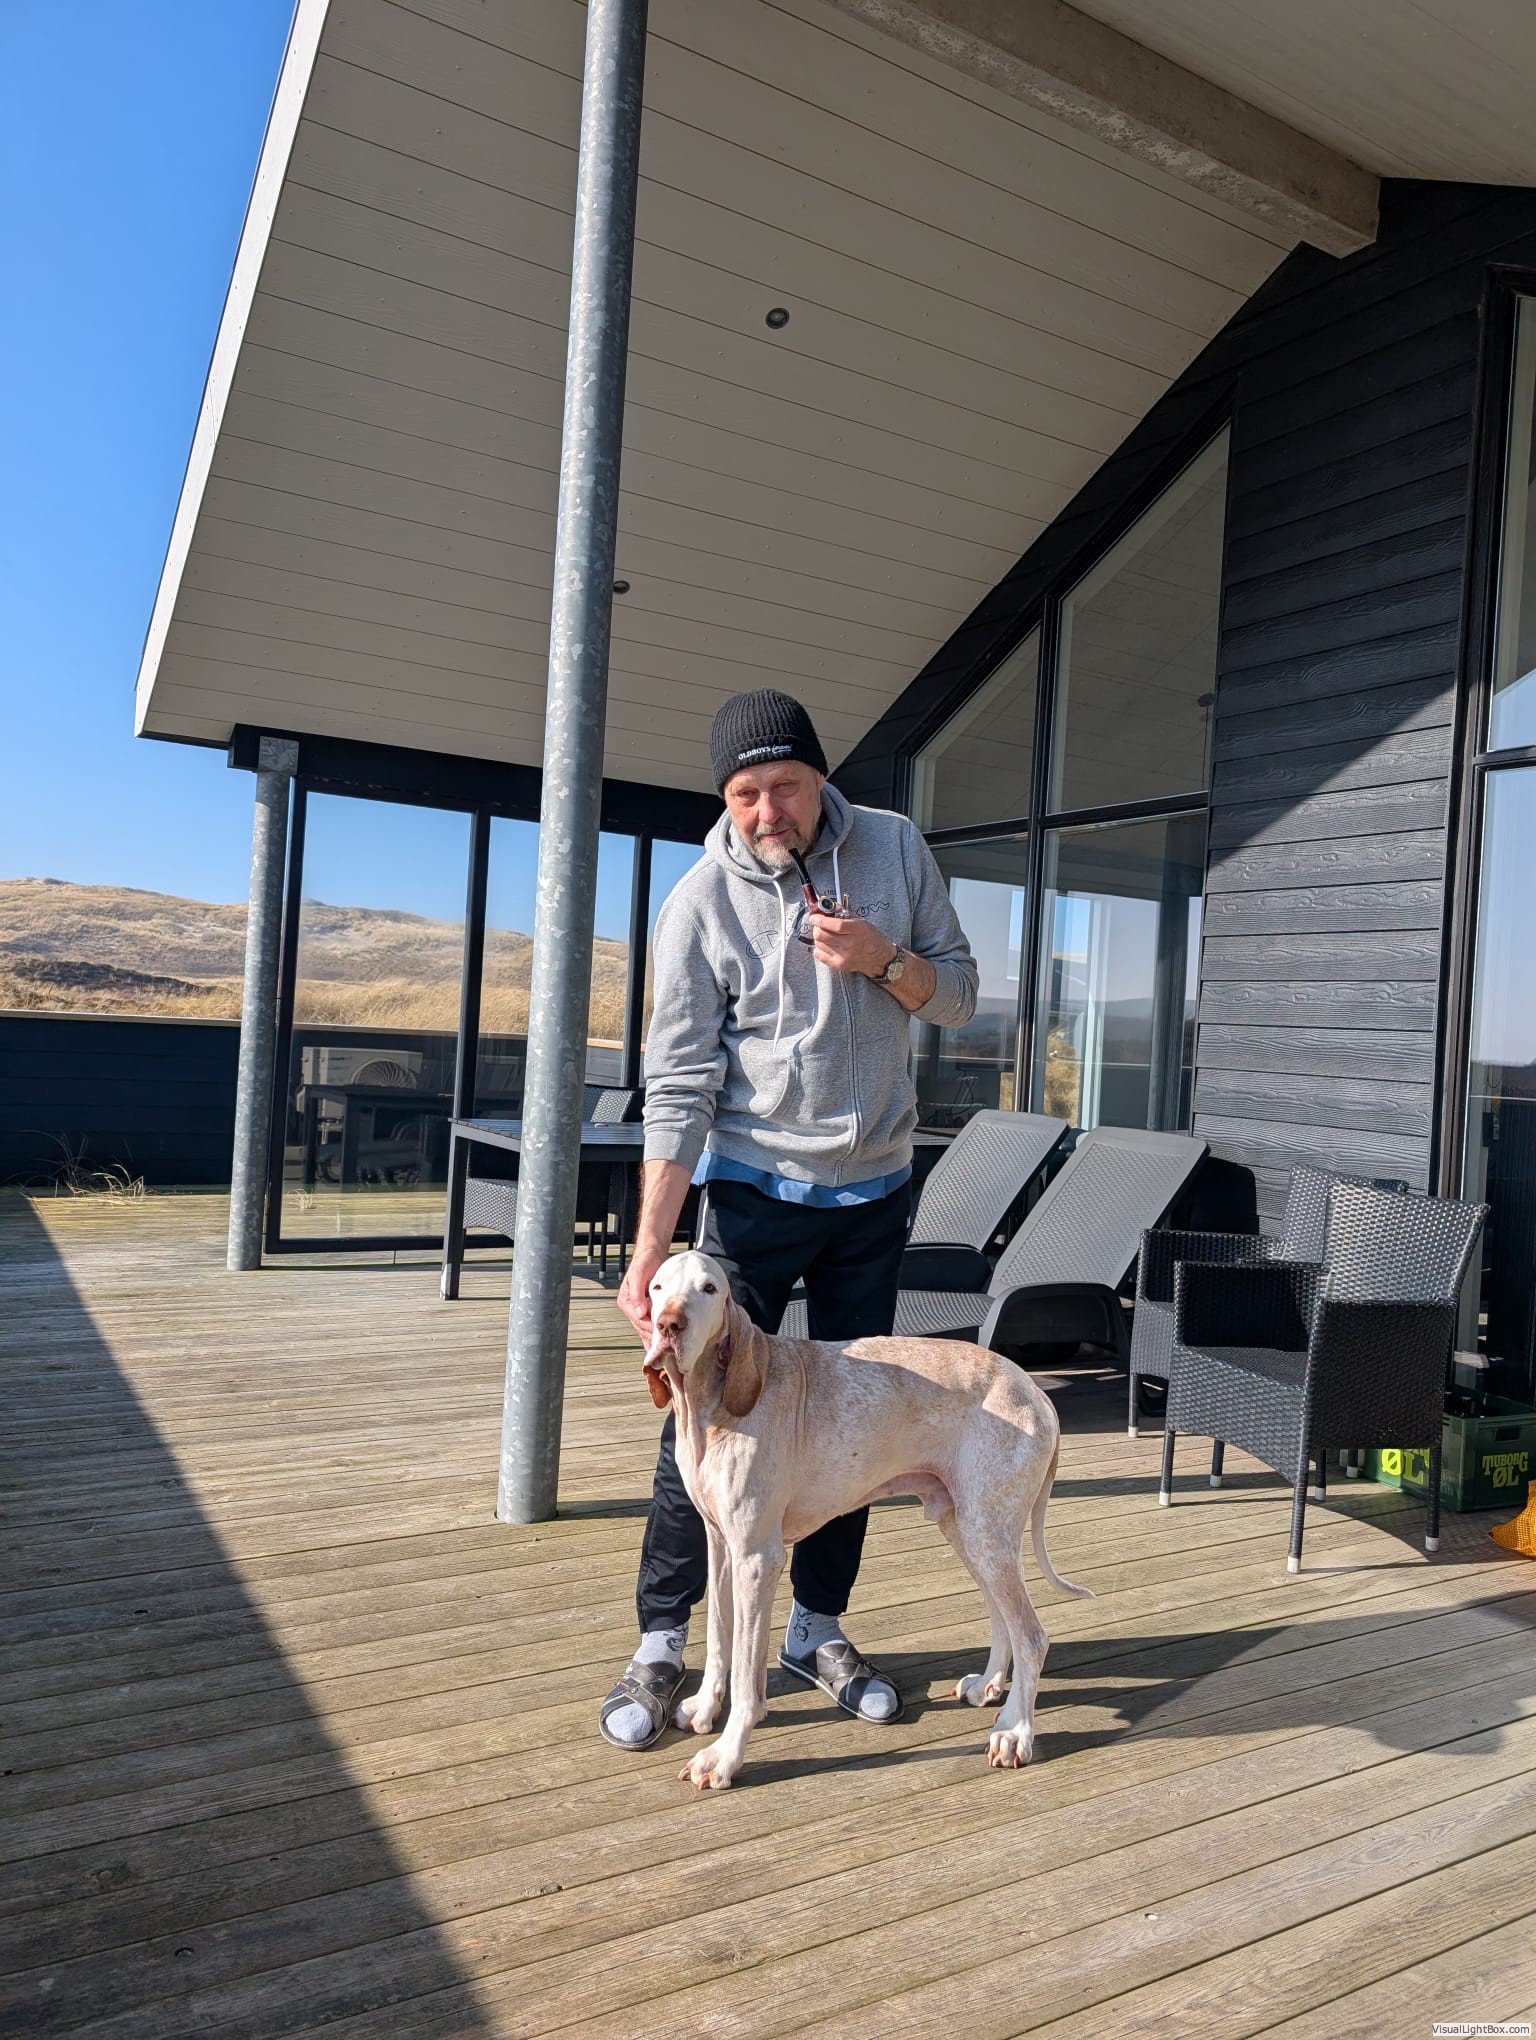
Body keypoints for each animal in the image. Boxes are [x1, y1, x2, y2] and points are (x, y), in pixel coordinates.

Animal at [641, 1250, 1090, 1791]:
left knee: (1032, 1635)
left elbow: (747, 1677)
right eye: (657, 1287)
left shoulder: (756, 1558)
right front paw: (706, 1708)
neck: (710, 1405)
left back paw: (1015, 1731)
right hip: (968, 1529)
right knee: (1002, 1615)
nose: (669, 1325)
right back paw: (988, 1686)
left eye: (709, 1288)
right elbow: (717, 1638)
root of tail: (1034, 1391)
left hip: (988, 1532)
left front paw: (726, 1755)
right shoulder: (721, 1546)